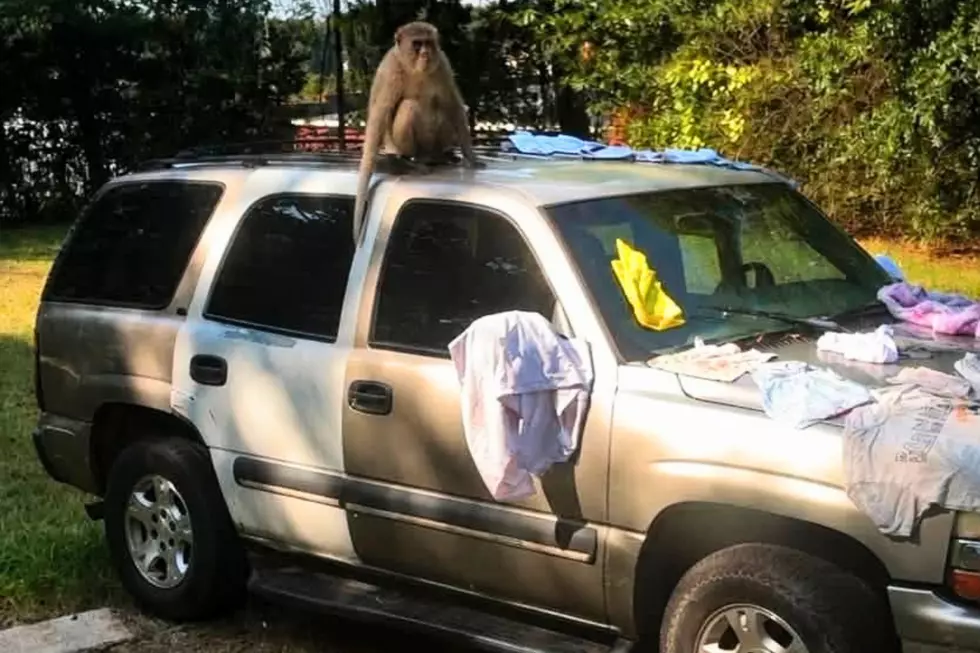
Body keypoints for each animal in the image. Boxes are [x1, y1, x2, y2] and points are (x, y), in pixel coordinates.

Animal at [353, 21, 482, 244]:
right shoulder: (390, 70)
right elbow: (379, 118)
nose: (425, 53)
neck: (415, 69)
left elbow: (453, 105)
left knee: (443, 109)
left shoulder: (442, 64)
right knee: (409, 107)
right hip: (408, 145)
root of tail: (425, 153)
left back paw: (439, 155)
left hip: (433, 143)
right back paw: (410, 160)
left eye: (428, 43)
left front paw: (471, 157)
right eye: (417, 44)